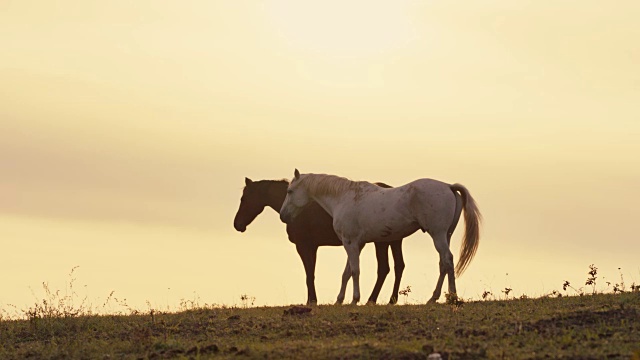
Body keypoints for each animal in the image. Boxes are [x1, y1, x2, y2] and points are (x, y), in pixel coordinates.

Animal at [235, 179, 410, 306]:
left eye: (244, 198)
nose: (237, 224)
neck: (299, 209)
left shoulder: (304, 246)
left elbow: (309, 274)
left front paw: (312, 301)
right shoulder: (312, 247)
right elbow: (311, 273)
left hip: (382, 242)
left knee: (384, 268)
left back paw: (372, 300)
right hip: (393, 241)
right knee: (398, 266)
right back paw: (391, 300)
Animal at [280, 170, 480, 306]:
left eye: (290, 191)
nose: (283, 216)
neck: (343, 198)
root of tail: (448, 186)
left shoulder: (350, 243)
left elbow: (355, 271)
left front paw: (355, 299)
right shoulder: (356, 244)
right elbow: (346, 273)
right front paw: (339, 300)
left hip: (437, 234)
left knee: (447, 260)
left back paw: (451, 297)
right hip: (444, 235)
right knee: (443, 264)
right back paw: (435, 297)